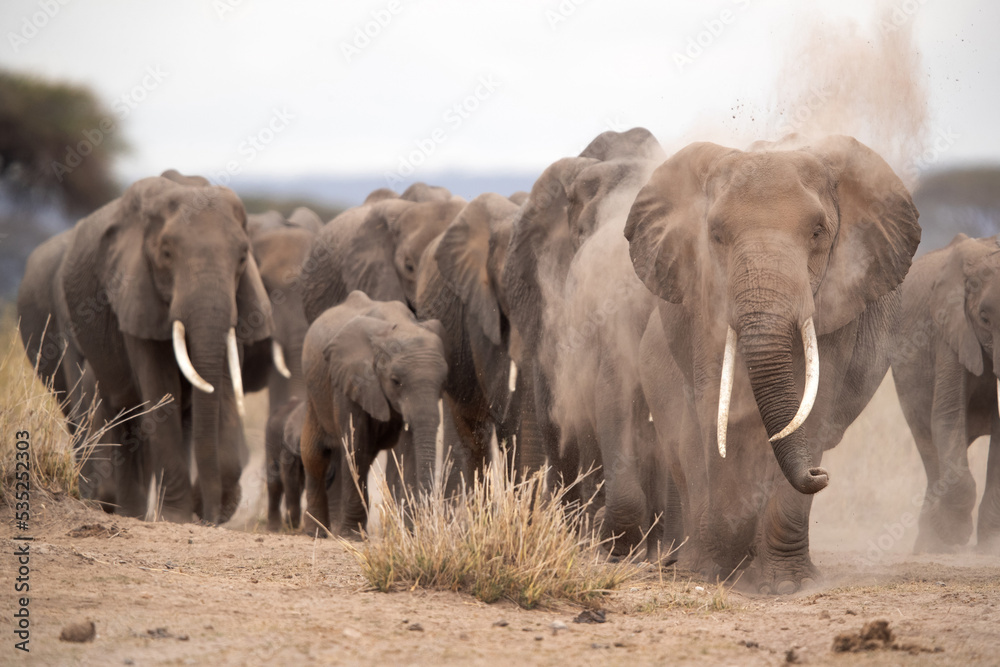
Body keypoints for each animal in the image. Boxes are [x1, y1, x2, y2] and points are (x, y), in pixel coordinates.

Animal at [53, 173, 275, 523]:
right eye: (167, 254)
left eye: (243, 257)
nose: (208, 515)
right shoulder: (135, 294)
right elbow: (161, 391)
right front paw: (178, 518)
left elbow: (225, 389)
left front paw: (204, 510)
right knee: (121, 413)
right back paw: (130, 514)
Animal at [299, 291, 447, 536]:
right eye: (396, 381)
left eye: (442, 383)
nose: (425, 527)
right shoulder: (350, 380)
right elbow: (355, 445)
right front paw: (351, 535)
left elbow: (407, 452)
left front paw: (409, 533)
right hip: (314, 394)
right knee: (315, 456)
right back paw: (317, 531)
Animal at [626, 135, 921, 592]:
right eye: (715, 235)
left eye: (818, 232)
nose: (819, 475)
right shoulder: (706, 301)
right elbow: (717, 407)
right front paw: (722, 569)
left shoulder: (839, 300)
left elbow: (812, 410)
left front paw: (782, 585)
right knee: (684, 444)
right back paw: (696, 564)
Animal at [890, 233, 1000, 554]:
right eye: (984, 319)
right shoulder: (949, 329)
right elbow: (947, 417)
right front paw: (954, 536)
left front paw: (991, 547)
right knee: (929, 444)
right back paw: (930, 544)